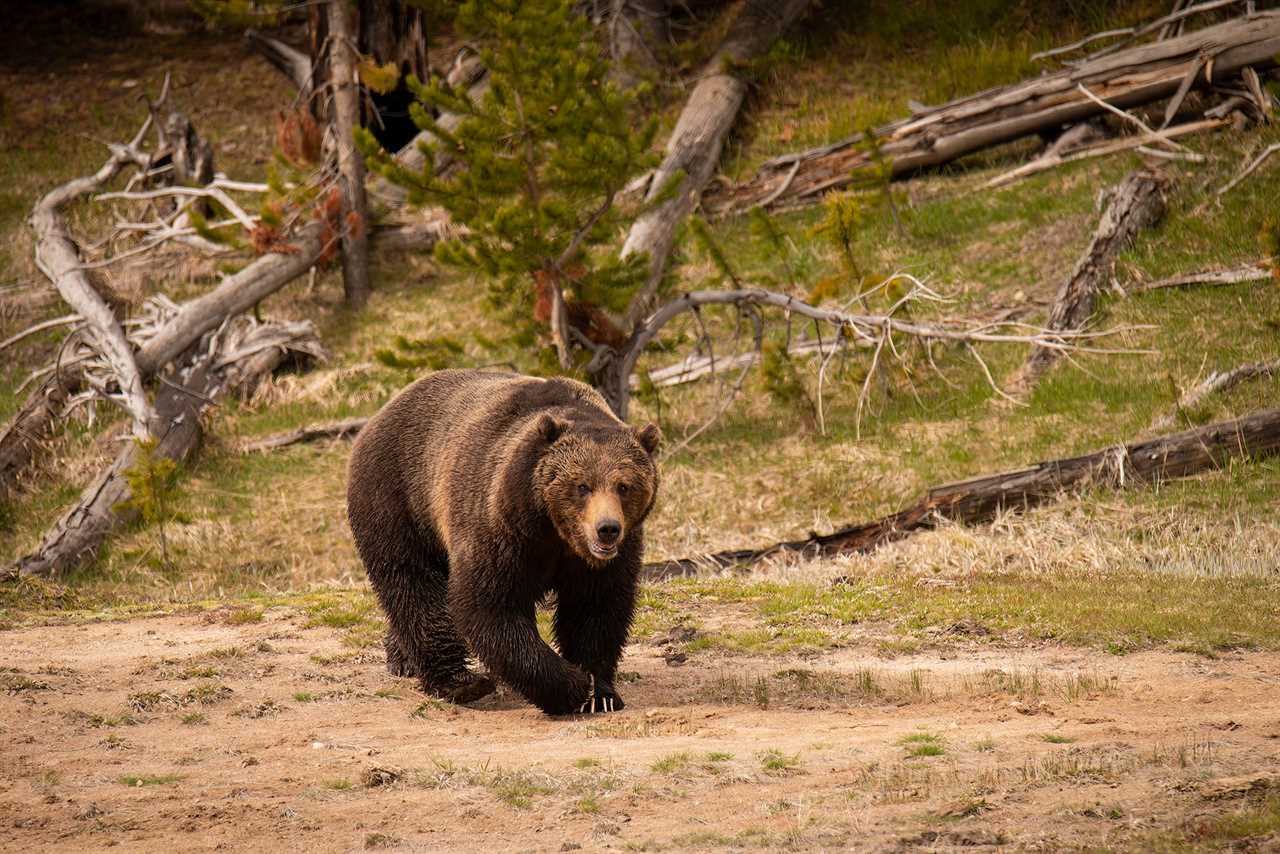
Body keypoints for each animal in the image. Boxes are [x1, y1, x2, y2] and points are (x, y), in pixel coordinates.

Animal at [345, 368, 660, 717]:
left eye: (624, 486)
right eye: (582, 486)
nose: (607, 529)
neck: (556, 532)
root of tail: (381, 413)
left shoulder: (603, 561)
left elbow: (596, 609)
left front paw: (600, 693)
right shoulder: (503, 527)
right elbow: (491, 605)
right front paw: (572, 686)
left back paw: (402, 658)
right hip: (400, 499)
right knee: (413, 584)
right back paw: (459, 681)